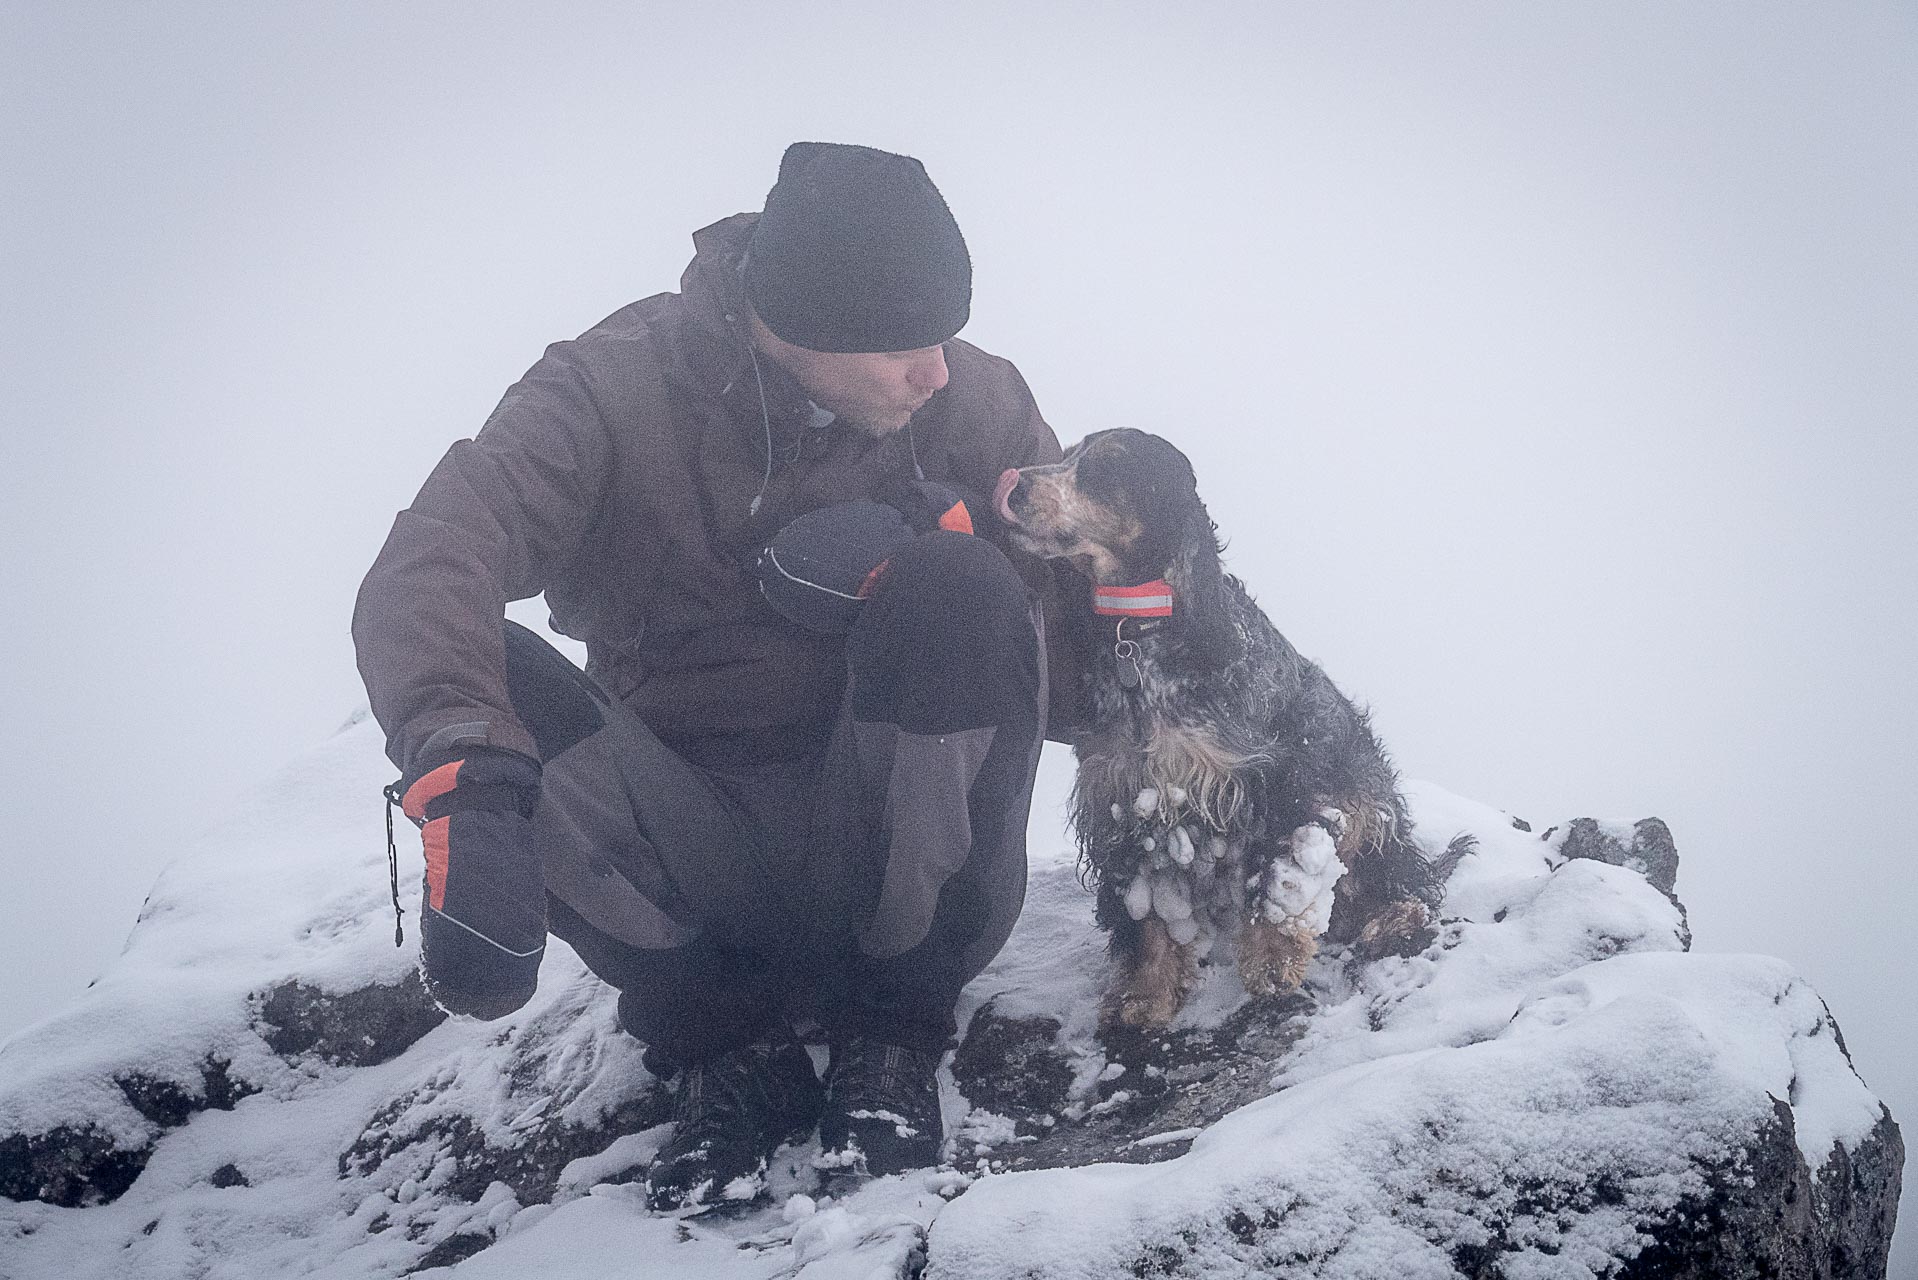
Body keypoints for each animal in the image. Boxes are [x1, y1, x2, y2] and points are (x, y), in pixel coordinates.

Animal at [997, 429, 1457, 1028]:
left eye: (1104, 469)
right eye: (1069, 452)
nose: (1012, 485)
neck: (1140, 636)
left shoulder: (1277, 777)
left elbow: (1277, 874)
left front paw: (1272, 965)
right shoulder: (1128, 797)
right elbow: (1148, 916)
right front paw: (1143, 995)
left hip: (1363, 800)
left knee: (1404, 879)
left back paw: (1393, 917)